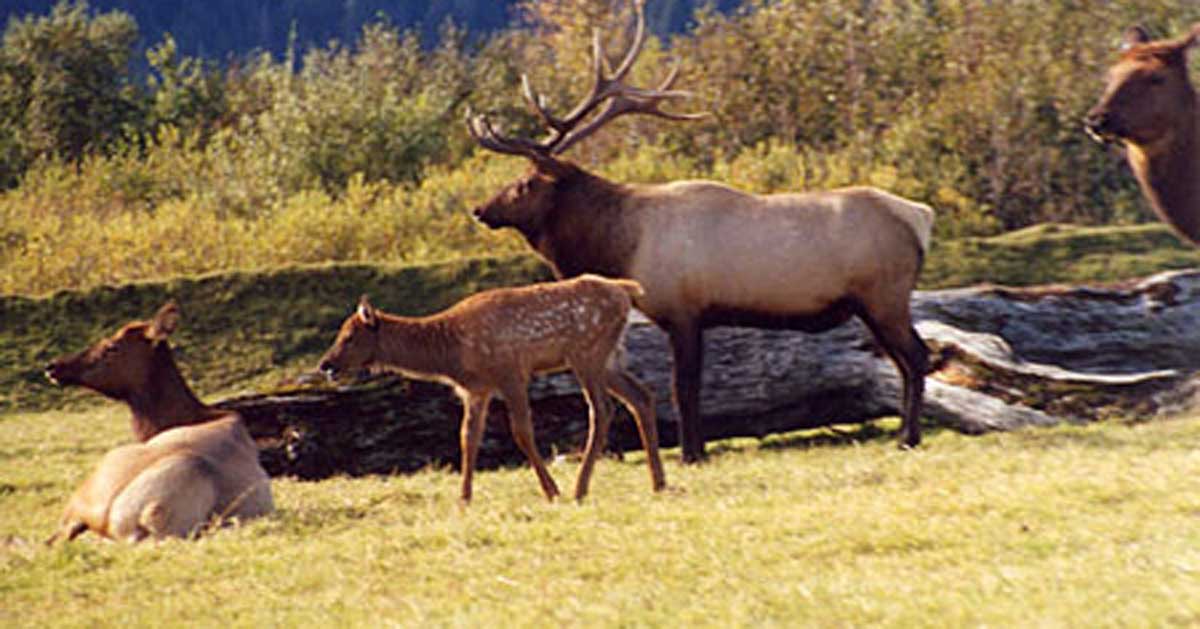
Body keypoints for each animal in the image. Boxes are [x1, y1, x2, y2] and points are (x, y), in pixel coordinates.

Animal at [316, 274, 665, 503]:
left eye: (349, 336)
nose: (325, 364)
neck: (453, 354)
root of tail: (626, 291)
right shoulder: (476, 390)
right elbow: (468, 438)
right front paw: (464, 498)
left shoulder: (510, 372)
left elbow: (521, 432)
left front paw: (551, 490)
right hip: (609, 357)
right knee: (642, 396)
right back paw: (658, 482)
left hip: (587, 353)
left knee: (602, 409)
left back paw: (580, 487)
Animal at [466, 0, 935, 463]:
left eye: (525, 183)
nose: (480, 208)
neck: (620, 246)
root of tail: (919, 216)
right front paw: (699, 449)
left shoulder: (683, 310)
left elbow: (684, 389)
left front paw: (692, 454)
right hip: (869, 304)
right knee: (901, 361)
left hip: (884, 294)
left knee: (917, 356)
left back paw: (908, 437)